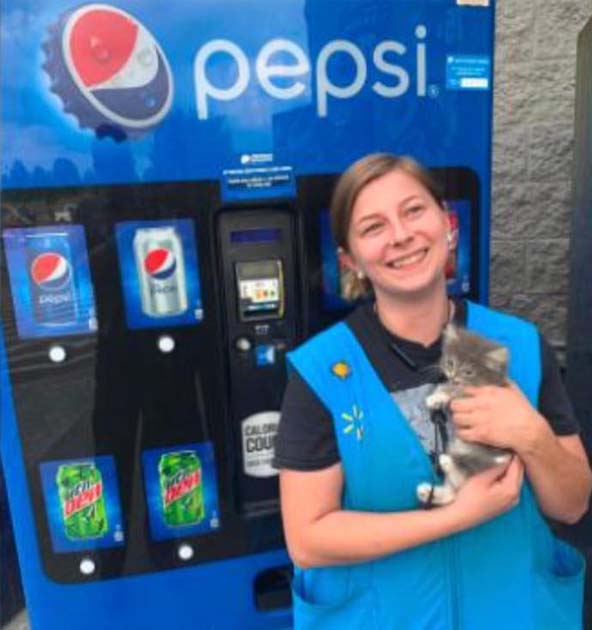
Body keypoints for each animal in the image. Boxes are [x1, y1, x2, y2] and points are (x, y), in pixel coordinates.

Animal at [418, 326, 512, 508]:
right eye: (450, 363)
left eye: (468, 371)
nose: (453, 375)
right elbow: (447, 387)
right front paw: (437, 397)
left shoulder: (473, 394)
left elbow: (455, 390)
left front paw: (438, 396)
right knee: (454, 494)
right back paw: (428, 492)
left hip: (490, 458)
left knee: (467, 473)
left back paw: (447, 461)